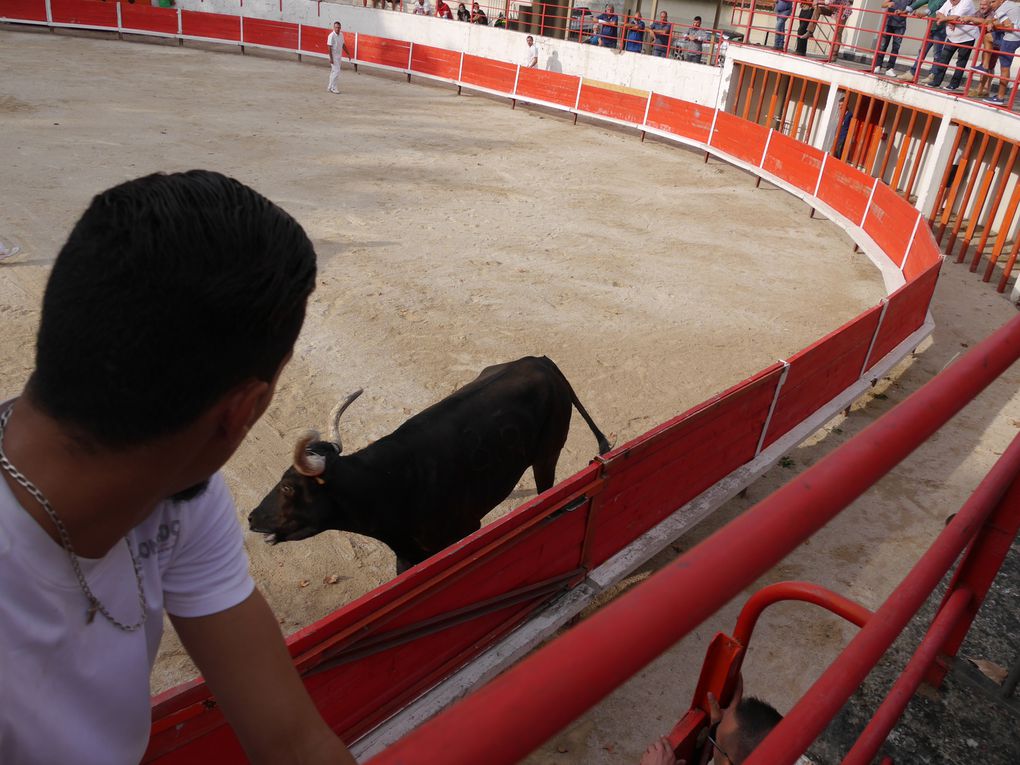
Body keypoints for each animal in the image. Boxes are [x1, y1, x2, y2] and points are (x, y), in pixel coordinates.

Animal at [247, 357, 607, 571]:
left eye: (288, 487)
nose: (252, 517)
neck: (386, 483)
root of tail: (538, 361)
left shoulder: (463, 530)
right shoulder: (407, 554)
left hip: (546, 456)